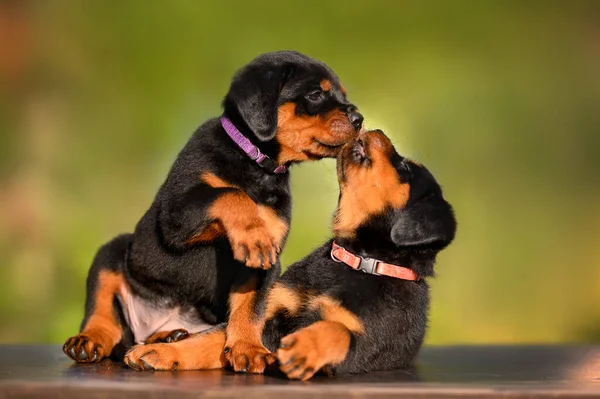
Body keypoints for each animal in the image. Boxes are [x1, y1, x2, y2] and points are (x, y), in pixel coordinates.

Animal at [63, 50, 364, 376]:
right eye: (314, 94)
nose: (359, 119)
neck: (255, 164)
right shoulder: (178, 214)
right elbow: (230, 194)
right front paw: (252, 232)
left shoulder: (265, 264)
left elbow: (251, 306)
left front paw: (249, 348)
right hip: (115, 250)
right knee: (102, 310)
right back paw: (89, 340)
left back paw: (169, 337)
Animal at [124, 130, 458, 376]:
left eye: (404, 168)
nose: (375, 129)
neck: (356, 259)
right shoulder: (269, 312)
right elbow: (215, 338)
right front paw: (160, 353)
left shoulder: (366, 340)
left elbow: (336, 330)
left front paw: (304, 348)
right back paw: (166, 338)